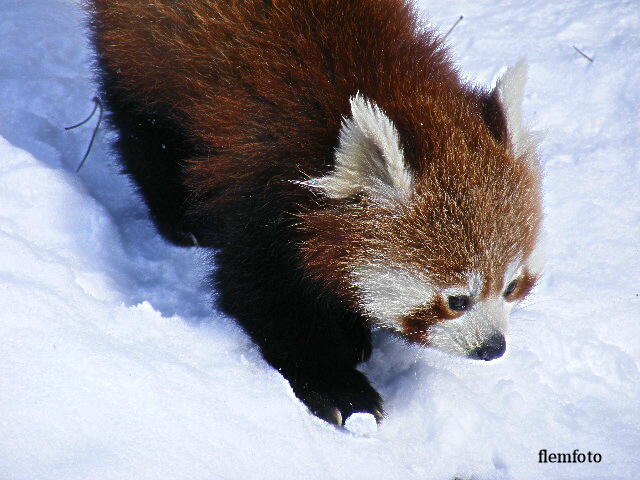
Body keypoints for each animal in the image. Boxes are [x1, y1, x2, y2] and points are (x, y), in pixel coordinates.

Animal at [89, 0, 540, 428]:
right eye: (457, 300)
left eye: (511, 286)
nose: (492, 347)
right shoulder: (261, 194)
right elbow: (264, 300)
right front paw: (340, 389)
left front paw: (351, 328)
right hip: (146, 50)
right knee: (143, 123)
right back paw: (179, 216)